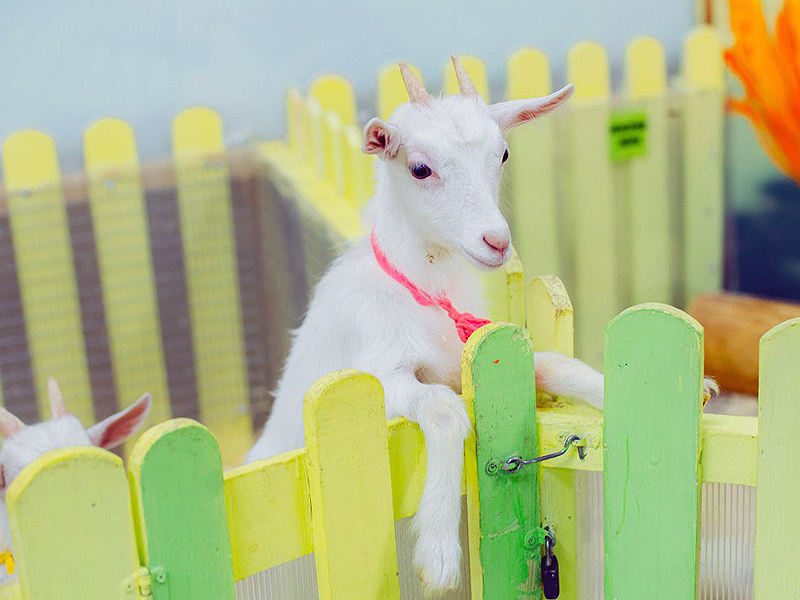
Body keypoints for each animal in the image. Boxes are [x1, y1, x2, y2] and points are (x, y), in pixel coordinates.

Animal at [250, 58, 608, 592]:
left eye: (502, 154)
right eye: (420, 167)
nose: (496, 241)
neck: (421, 292)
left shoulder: (466, 364)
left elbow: (553, 364)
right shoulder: (383, 374)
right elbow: (444, 411)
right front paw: (438, 554)